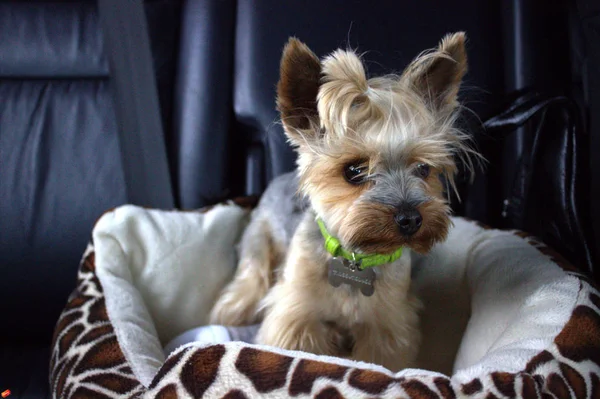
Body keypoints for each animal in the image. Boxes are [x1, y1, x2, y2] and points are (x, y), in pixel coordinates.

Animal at [211, 32, 478, 372]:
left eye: (423, 169)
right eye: (354, 171)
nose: (411, 219)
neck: (356, 258)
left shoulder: (386, 326)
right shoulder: (298, 317)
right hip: (258, 235)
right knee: (252, 271)